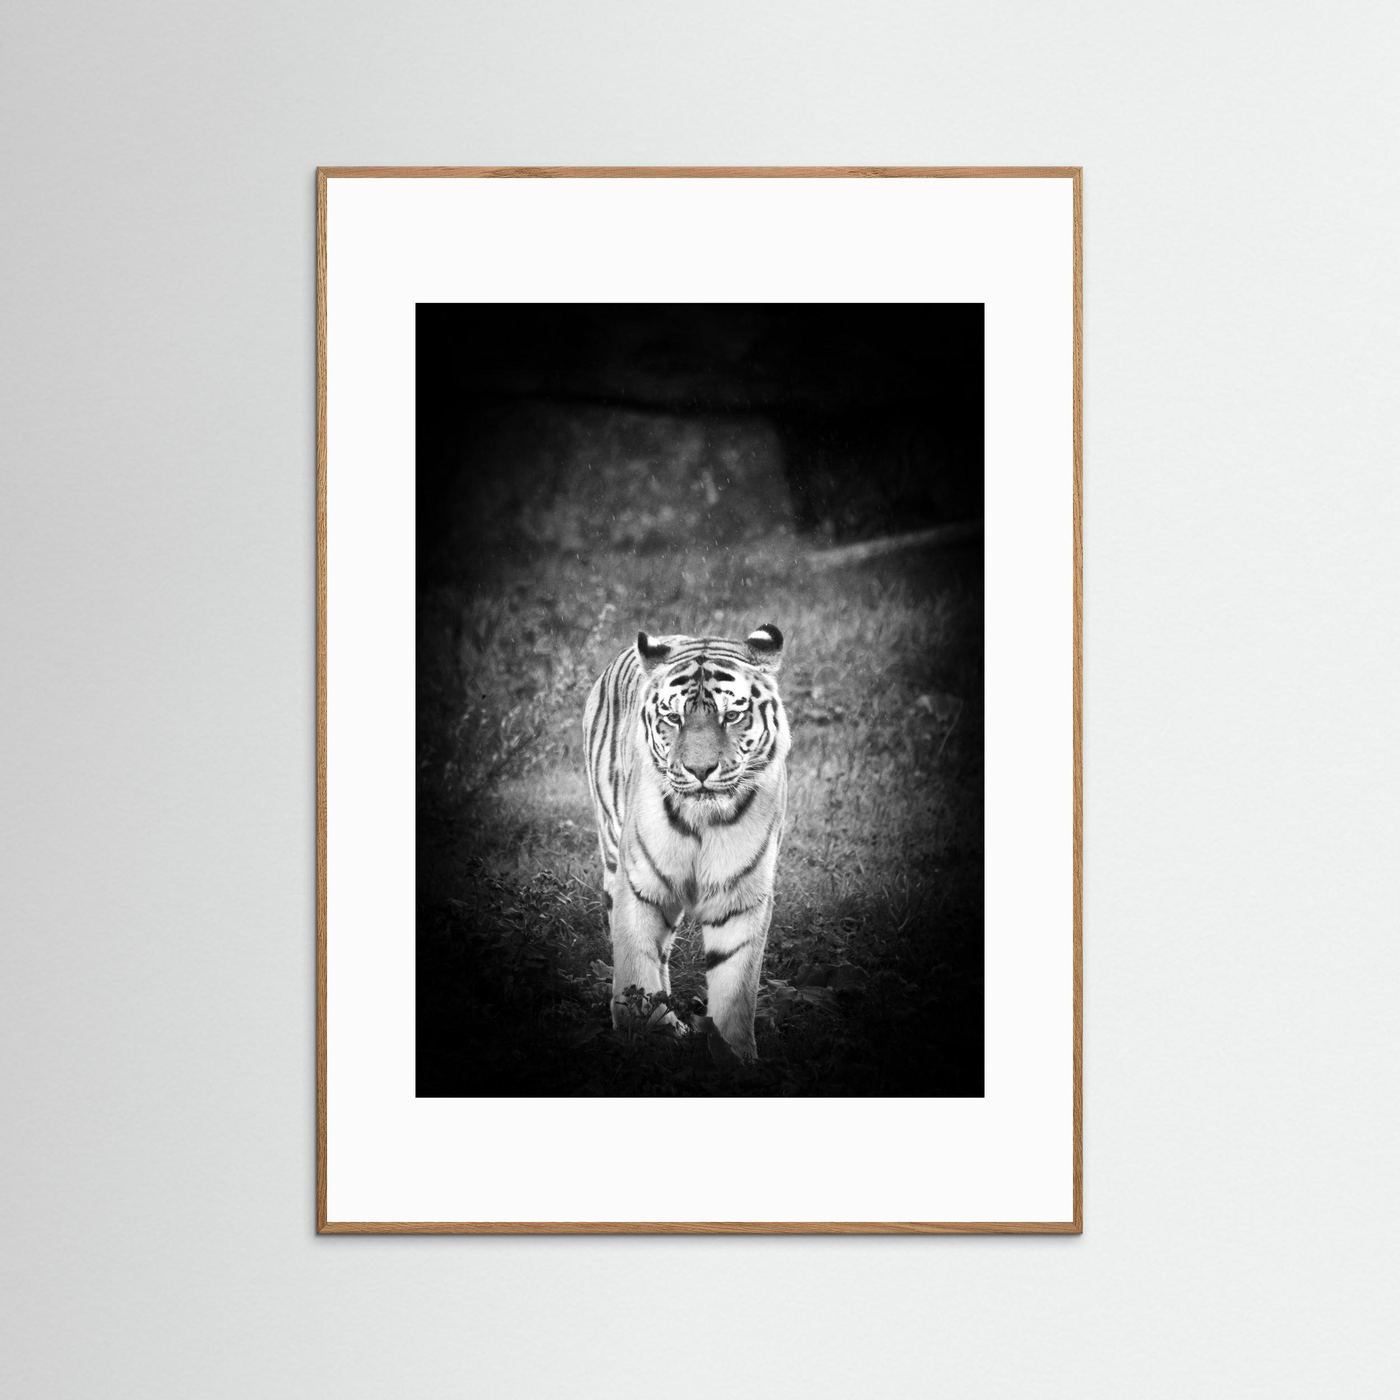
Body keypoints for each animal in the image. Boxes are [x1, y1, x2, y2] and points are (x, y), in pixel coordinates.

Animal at [582, 623, 790, 1060]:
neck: (702, 821)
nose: (700, 770)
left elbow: (735, 986)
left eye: (732, 715)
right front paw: (645, 1038)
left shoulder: (741, 896)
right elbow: (636, 965)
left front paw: (734, 1056)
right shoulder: (639, 885)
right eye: (673, 718)